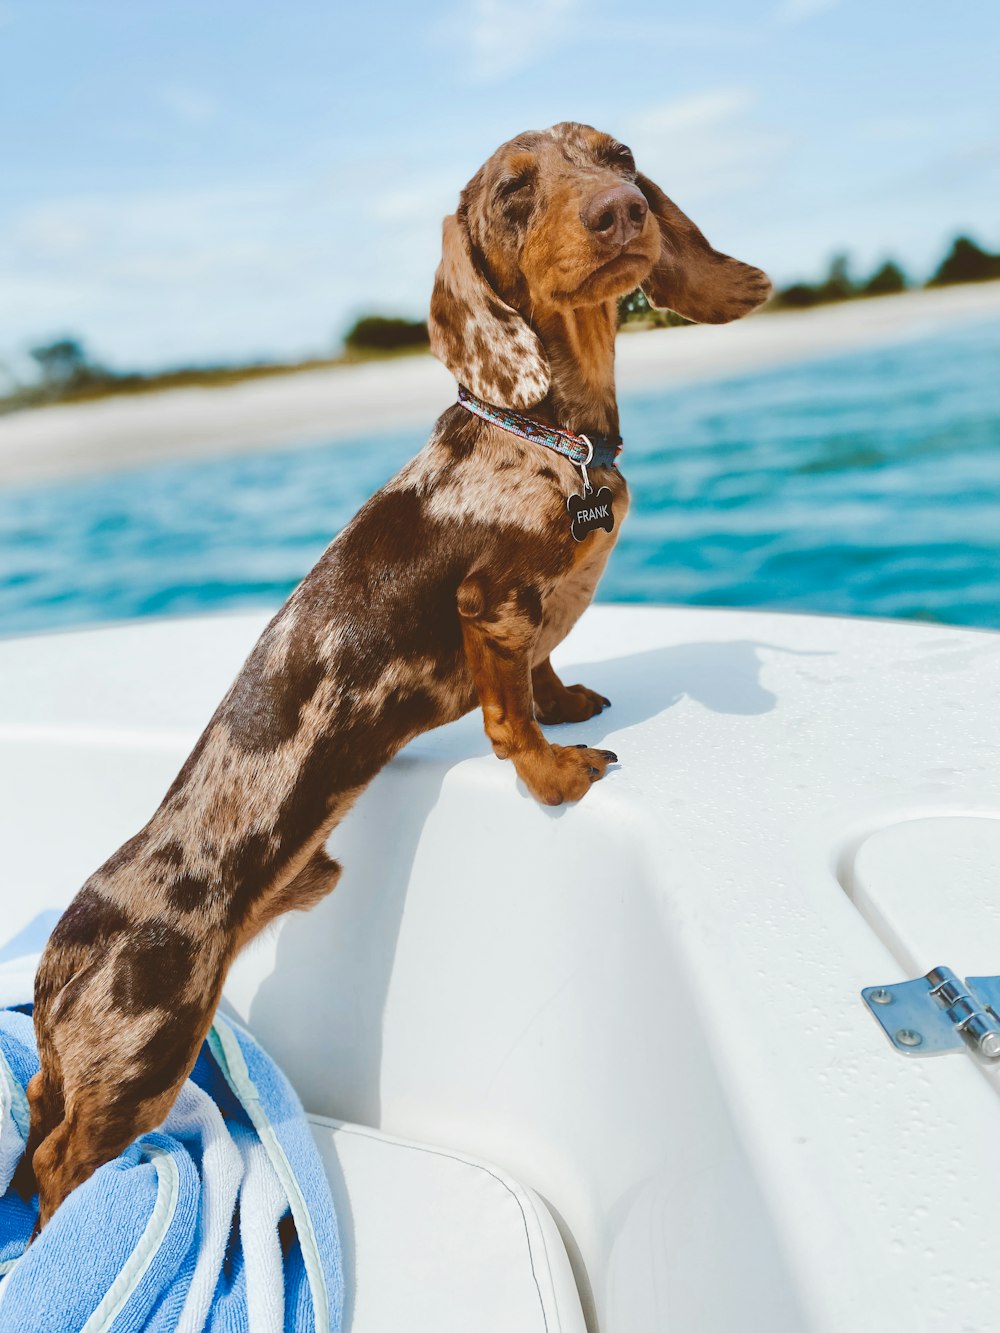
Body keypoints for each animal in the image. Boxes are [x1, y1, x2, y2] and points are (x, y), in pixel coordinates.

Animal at [23, 125, 773, 1226]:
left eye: (620, 156)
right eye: (512, 193)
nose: (621, 213)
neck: (545, 433)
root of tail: (60, 953)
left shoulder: (528, 618)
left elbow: (545, 670)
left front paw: (569, 701)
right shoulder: (489, 603)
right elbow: (511, 716)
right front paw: (556, 769)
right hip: (143, 1062)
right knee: (56, 1157)